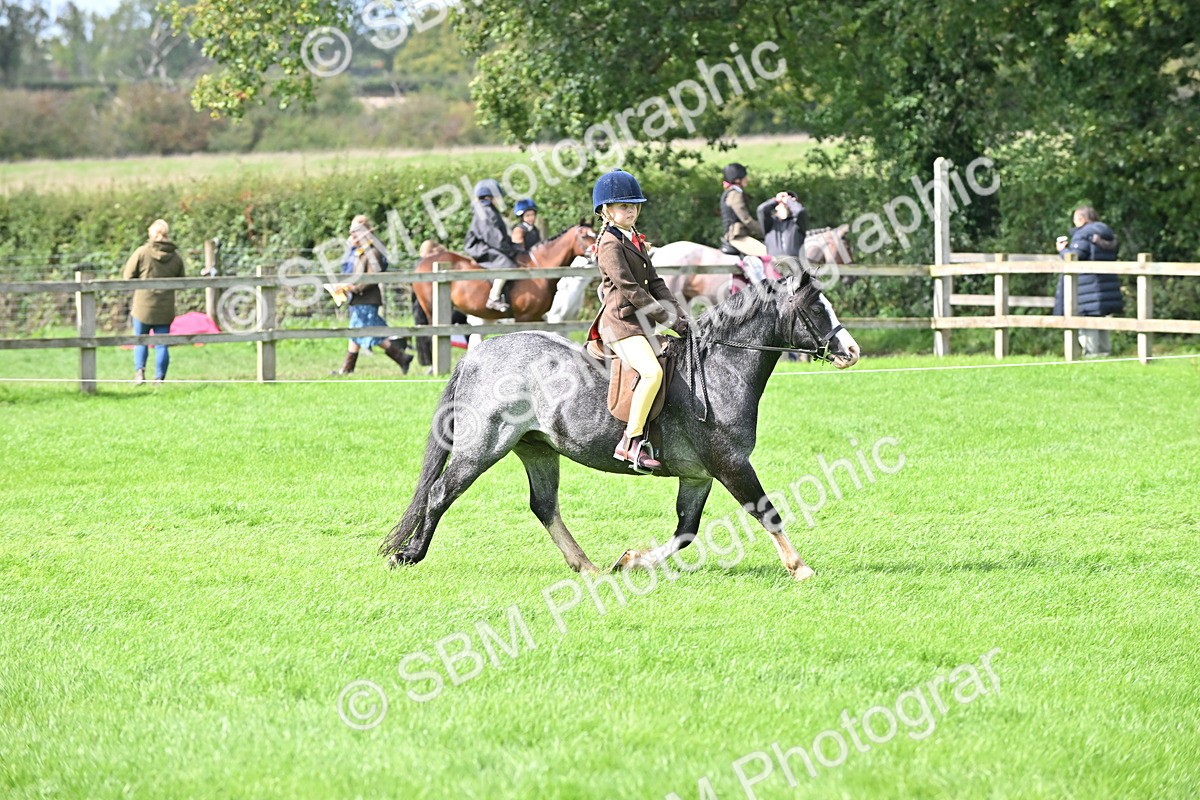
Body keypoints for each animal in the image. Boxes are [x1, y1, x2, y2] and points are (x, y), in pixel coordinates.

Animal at [380, 272, 861, 581]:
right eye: (815, 309)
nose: (852, 351)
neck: (720, 367)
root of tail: (479, 353)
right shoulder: (731, 464)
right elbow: (766, 511)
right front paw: (800, 567)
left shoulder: (699, 475)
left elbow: (686, 531)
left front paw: (630, 561)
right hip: (482, 446)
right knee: (441, 492)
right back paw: (409, 556)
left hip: (536, 447)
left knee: (544, 506)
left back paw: (587, 567)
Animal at [411, 222, 597, 324]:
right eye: (584, 236)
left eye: (595, 234)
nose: (596, 254)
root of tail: (423, 262)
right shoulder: (525, 317)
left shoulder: (538, 317)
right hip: (432, 309)